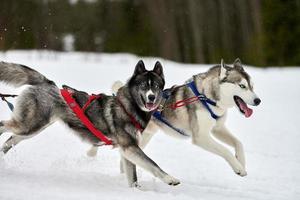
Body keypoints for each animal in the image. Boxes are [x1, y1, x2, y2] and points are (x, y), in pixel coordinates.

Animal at [0, 60, 180, 187]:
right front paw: (170, 179)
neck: (129, 107)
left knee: (10, 140)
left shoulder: (127, 151)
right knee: (3, 125)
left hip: (32, 128)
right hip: (29, 125)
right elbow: (153, 164)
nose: (151, 97)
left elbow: (133, 178)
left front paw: (136, 191)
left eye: (156, 86)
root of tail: (47, 82)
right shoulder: (130, 147)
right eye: (143, 85)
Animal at [92, 58, 258, 177]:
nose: (258, 101)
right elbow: (225, 151)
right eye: (242, 86)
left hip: (144, 137)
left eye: (252, 86)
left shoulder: (217, 129)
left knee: (124, 157)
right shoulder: (201, 137)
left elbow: (238, 143)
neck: (207, 97)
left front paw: (241, 162)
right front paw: (238, 168)